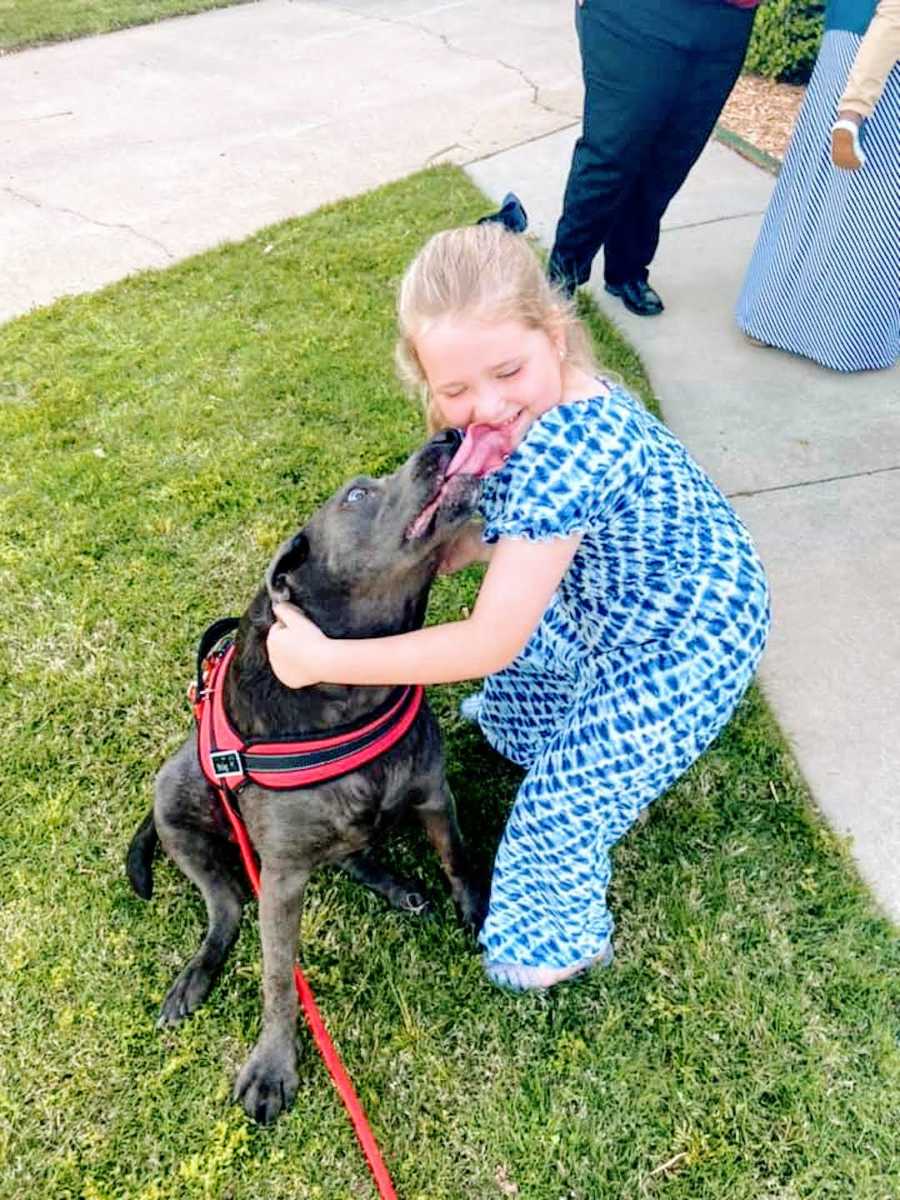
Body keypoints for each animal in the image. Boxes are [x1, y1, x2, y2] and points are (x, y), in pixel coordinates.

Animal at [127, 432, 487, 1123]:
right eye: (357, 495)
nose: (447, 437)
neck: (359, 683)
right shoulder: (283, 877)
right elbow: (277, 978)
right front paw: (272, 1065)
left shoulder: (434, 796)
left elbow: (457, 857)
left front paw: (480, 913)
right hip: (179, 806)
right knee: (228, 910)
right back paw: (194, 977)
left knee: (349, 854)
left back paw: (396, 886)